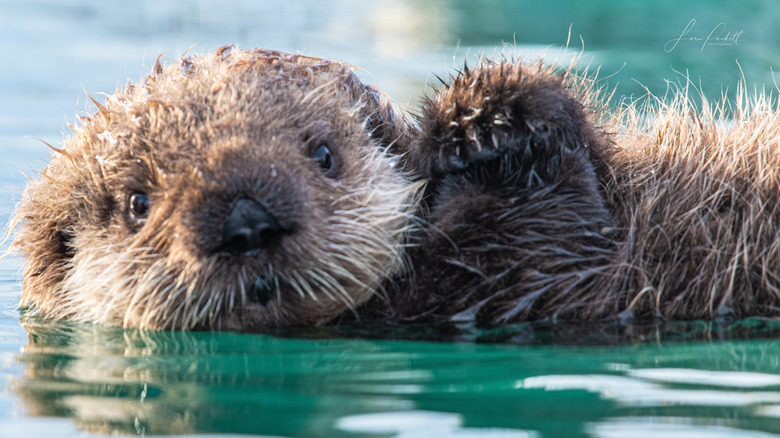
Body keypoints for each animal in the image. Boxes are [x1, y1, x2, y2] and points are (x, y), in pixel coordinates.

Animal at [12, 45, 780, 330]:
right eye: (138, 203)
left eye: (323, 154)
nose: (247, 223)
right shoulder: (524, 285)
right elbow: (562, 222)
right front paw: (490, 116)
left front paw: (476, 120)